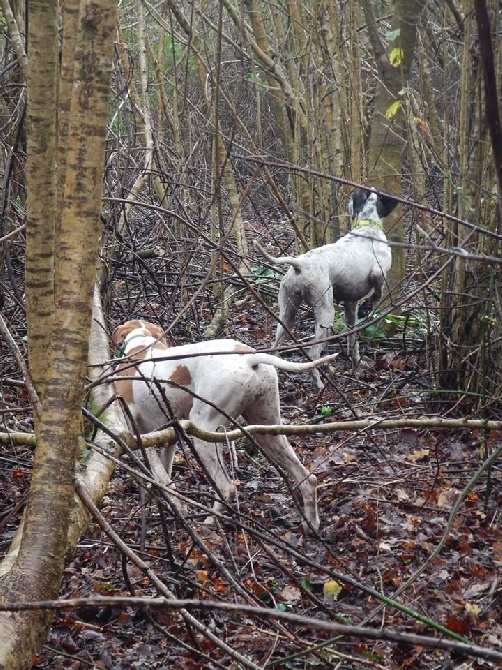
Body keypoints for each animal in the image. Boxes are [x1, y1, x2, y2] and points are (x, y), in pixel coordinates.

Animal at [111, 320, 338, 532]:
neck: (141, 343)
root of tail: (248, 357)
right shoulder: (171, 438)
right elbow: (165, 475)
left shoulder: (140, 437)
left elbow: (163, 479)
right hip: (267, 430)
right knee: (308, 478)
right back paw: (311, 524)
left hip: (203, 431)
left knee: (227, 487)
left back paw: (211, 521)